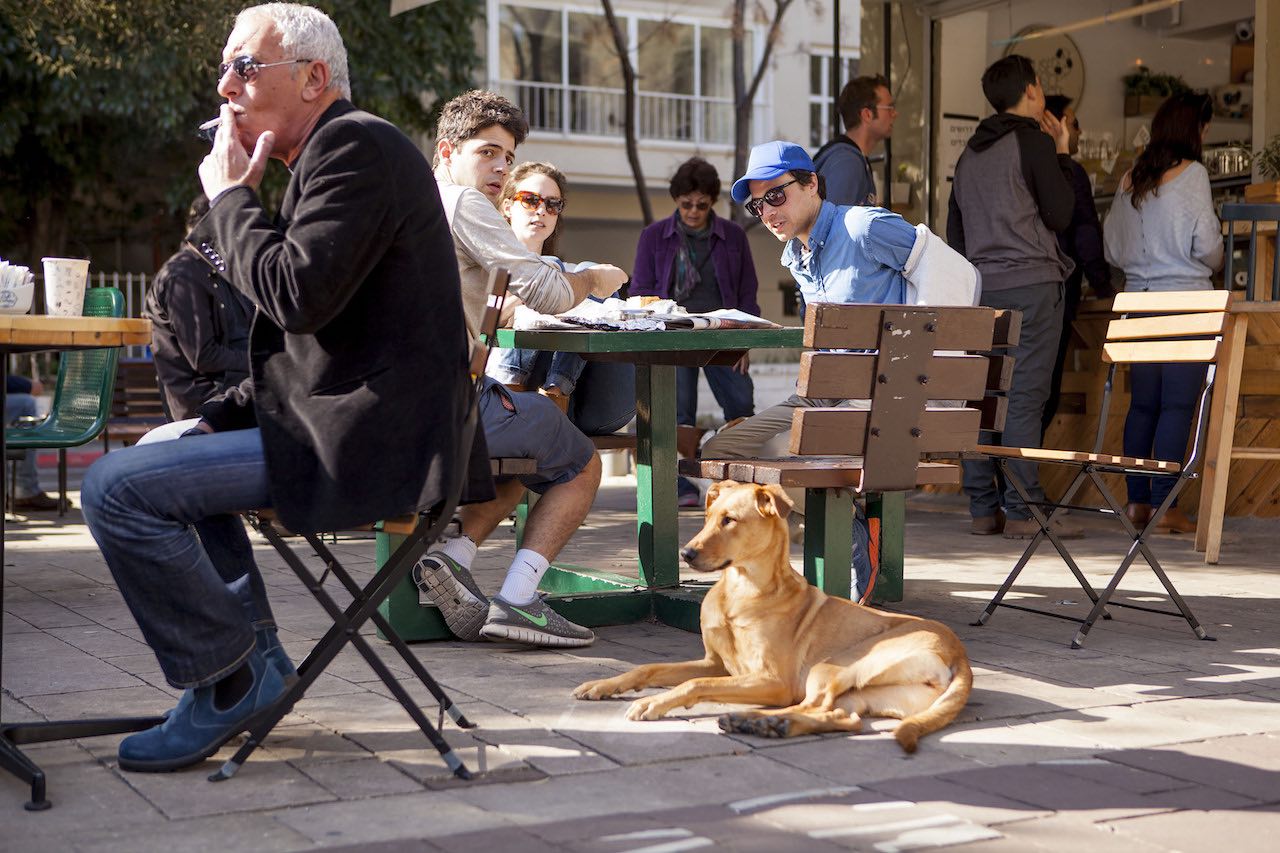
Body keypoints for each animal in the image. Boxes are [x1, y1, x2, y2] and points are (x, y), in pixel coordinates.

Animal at [570, 479, 967, 753]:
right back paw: (762, 724)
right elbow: (649, 669)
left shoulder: (771, 678)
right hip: (868, 694)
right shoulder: (716, 663)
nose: (686, 553)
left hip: (831, 667)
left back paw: (756, 721)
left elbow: (695, 684)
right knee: (844, 718)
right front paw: (603, 685)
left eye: (729, 520)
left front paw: (653, 702)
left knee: (810, 704)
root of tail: (959, 654)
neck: (740, 591)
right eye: (708, 517)